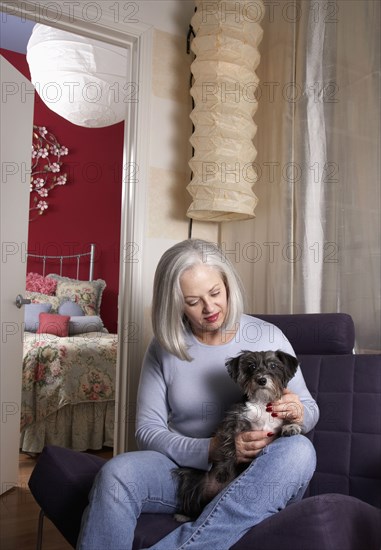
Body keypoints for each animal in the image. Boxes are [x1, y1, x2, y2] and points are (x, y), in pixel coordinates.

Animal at [174, 350, 302, 520]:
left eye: (273, 366)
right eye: (251, 366)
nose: (261, 380)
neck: (262, 402)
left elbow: (288, 419)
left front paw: (291, 426)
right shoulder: (231, 423)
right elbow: (230, 446)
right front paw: (224, 470)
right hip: (194, 477)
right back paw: (185, 515)